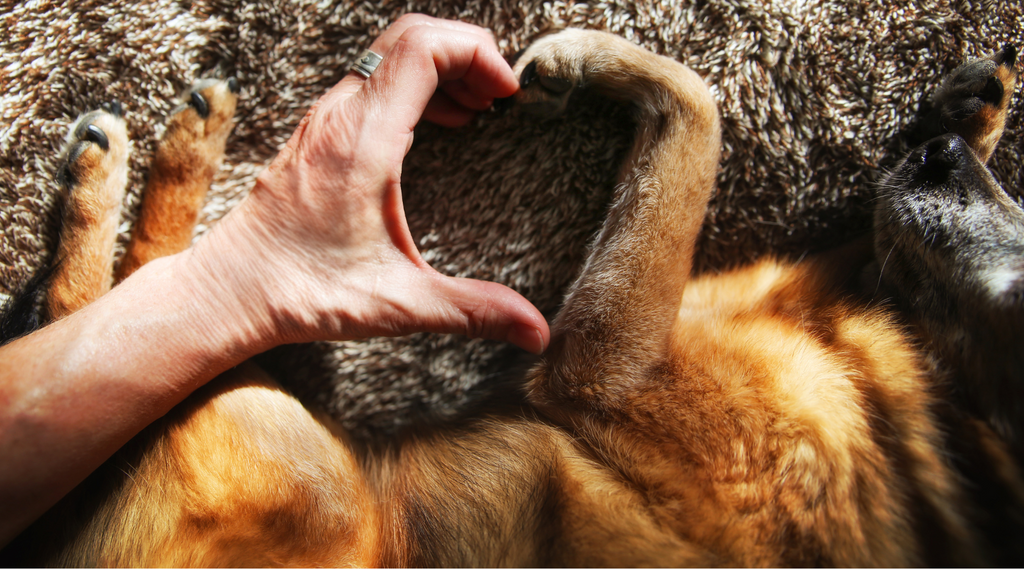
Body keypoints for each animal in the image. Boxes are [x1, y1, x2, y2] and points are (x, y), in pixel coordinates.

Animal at [2, 28, 1024, 564]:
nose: (939, 159)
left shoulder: (607, 366)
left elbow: (698, 107)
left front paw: (588, 57)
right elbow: (872, 218)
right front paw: (970, 108)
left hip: (294, 462)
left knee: (115, 323)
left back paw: (123, 169)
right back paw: (175, 145)